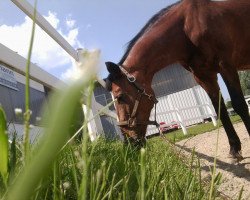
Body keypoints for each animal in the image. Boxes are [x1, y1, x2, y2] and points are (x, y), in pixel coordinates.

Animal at [105, 0, 250, 161]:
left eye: (120, 97)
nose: (129, 143)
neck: (187, 28)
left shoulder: (226, 66)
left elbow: (239, 104)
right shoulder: (204, 77)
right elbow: (220, 109)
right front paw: (234, 148)